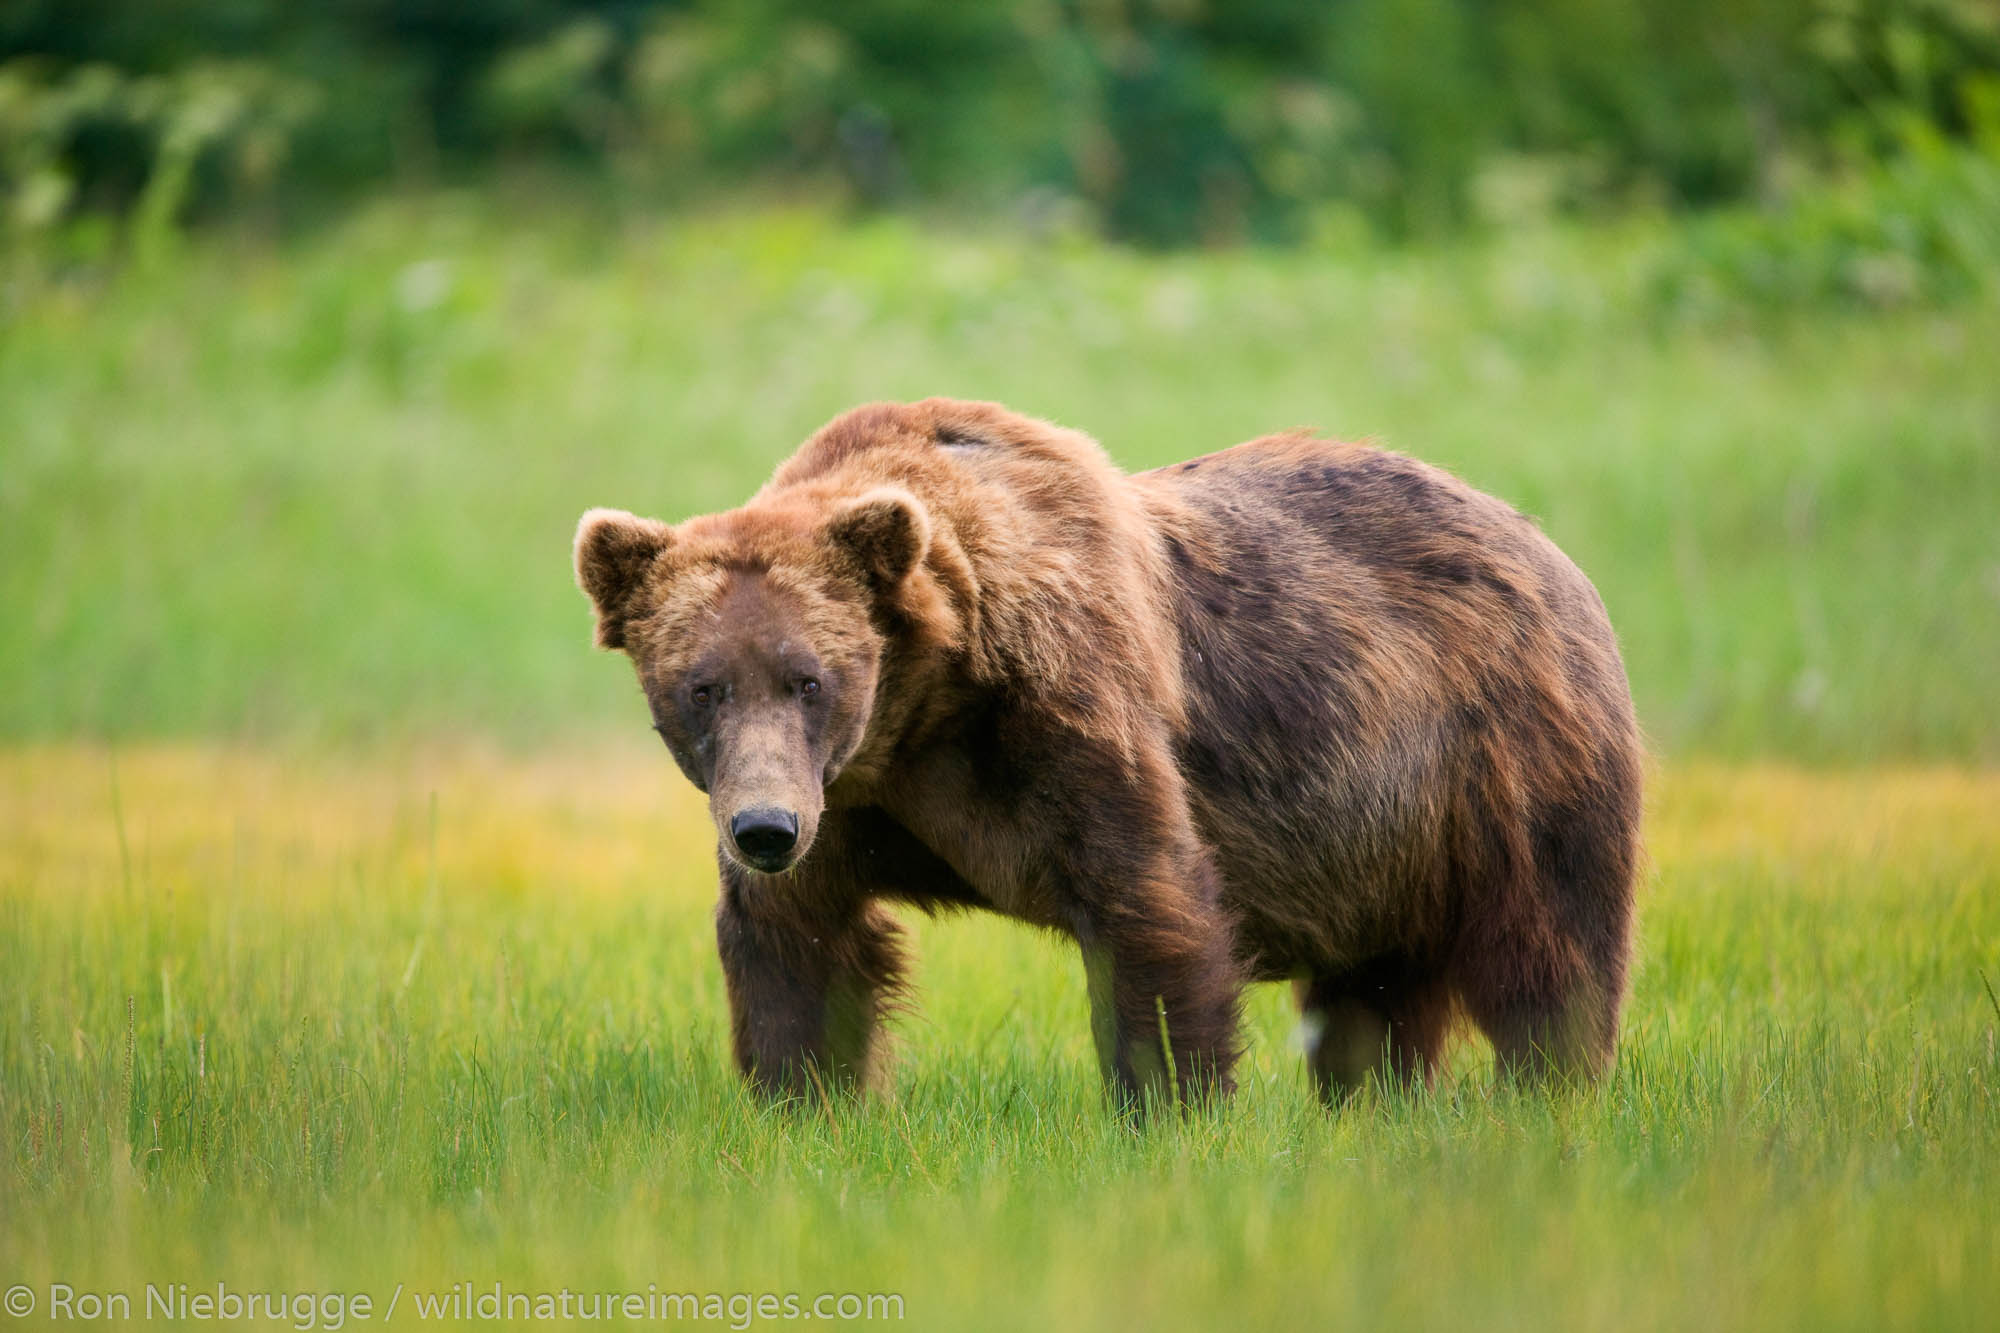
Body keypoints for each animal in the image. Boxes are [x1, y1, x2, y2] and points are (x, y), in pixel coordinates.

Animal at [580, 394, 1640, 1096]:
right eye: (701, 687)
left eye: (810, 678)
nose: (762, 829)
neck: (928, 708)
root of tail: (1539, 537)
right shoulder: (847, 796)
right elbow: (798, 945)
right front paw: (807, 1101)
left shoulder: (1066, 710)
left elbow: (1149, 902)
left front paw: (1170, 1104)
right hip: (1380, 845)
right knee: (1372, 995)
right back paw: (1371, 1098)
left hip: (1498, 756)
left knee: (1548, 948)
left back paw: (1547, 1090)